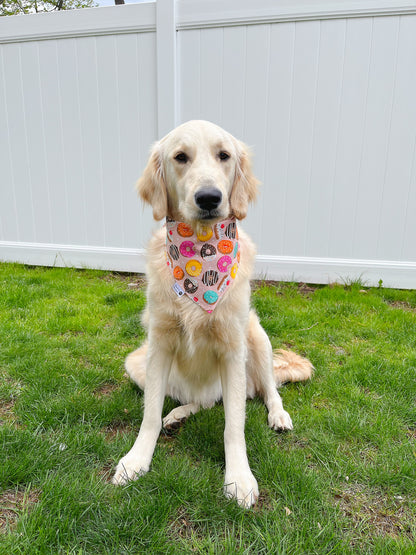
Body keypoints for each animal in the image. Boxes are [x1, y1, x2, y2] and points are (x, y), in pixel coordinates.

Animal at [110, 121, 312, 508]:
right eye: (180, 157)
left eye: (224, 155)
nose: (208, 198)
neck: (200, 249)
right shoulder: (159, 343)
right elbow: (149, 414)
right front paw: (137, 459)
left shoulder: (233, 349)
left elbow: (234, 425)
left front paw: (239, 478)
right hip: (136, 363)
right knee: (200, 402)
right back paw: (176, 414)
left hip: (257, 337)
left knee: (267, 391)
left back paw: (278, 415)